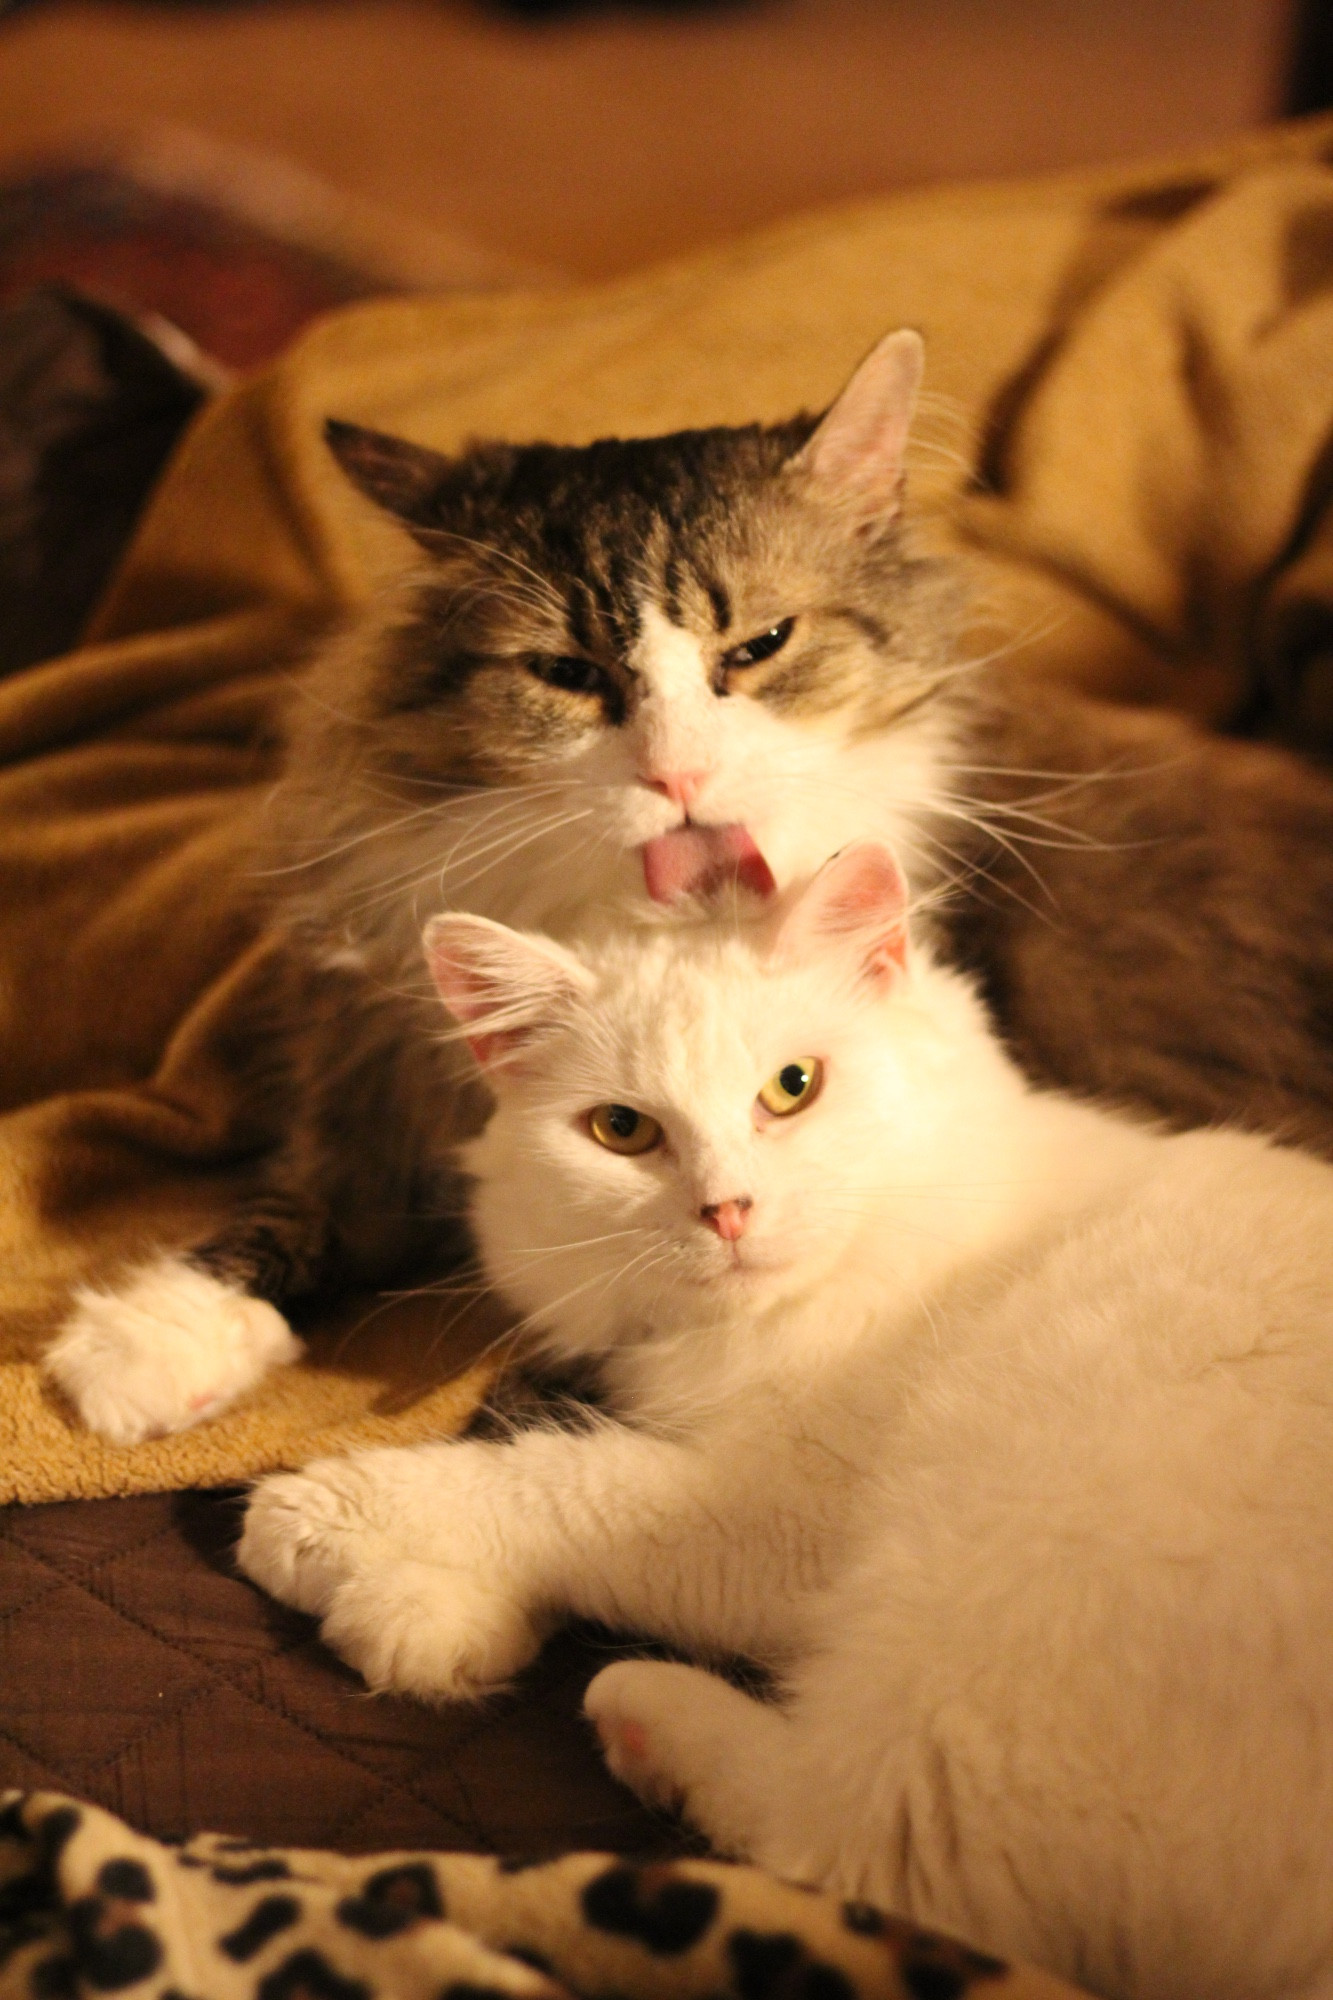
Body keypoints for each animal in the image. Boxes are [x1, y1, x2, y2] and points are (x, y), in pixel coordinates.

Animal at [241, 840, 1333, 2000]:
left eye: (792, 1087)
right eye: (621, 1130)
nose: (726, 1209)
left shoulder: (777, 1515)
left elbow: (553, 1481)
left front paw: (305, 1523)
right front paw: (419, 1618)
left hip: (968, 1593)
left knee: (852, 1857)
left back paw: (641, 1713)